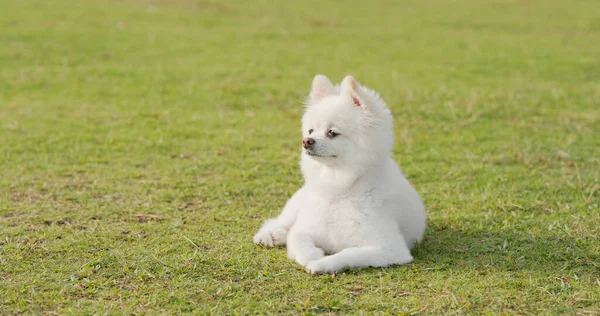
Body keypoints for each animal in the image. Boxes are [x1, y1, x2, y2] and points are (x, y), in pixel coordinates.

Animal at [253, 74, 426, 274]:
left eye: (332, 132)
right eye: (311, 130)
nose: (306, 141)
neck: (339, 187)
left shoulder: (389, 248)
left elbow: (348, 254)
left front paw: (321, 263)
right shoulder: (305, 228)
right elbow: (297, 239)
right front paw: (313, 255)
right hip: (297, 204)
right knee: (282, 221)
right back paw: (270, 235)